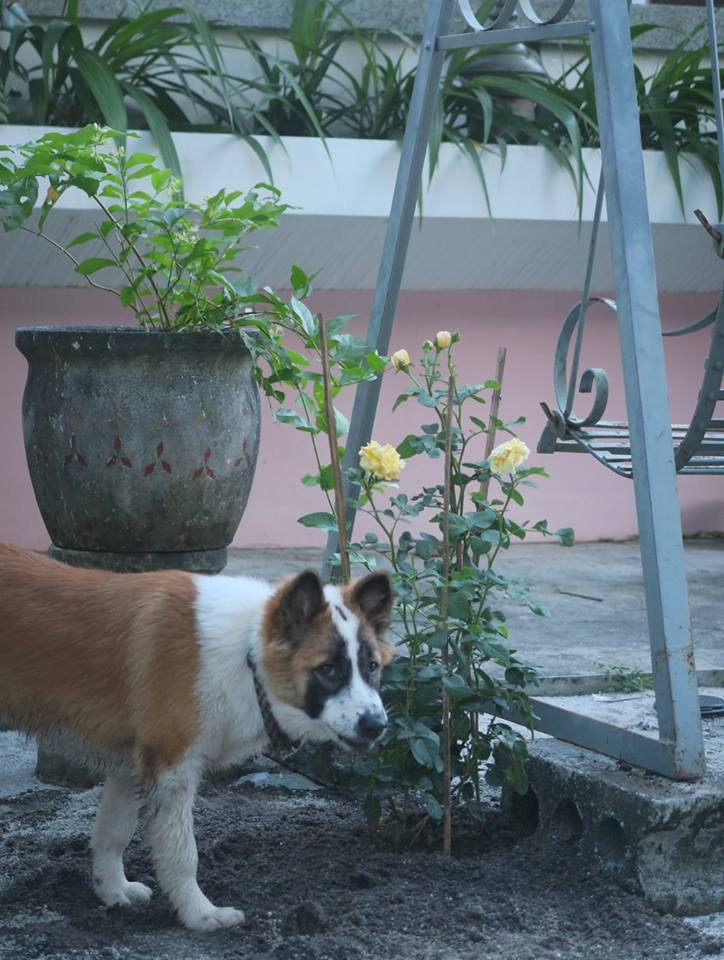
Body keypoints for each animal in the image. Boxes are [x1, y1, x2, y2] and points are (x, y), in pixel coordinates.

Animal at [0, 542, 393, 931]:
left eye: (372, 667)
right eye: (328, 669)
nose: (376, 725)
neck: (245, 654)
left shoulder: (130, 763)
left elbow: (114, 832)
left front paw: (112, 891)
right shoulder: (171, 767)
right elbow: (182, 853)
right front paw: (200, 914)